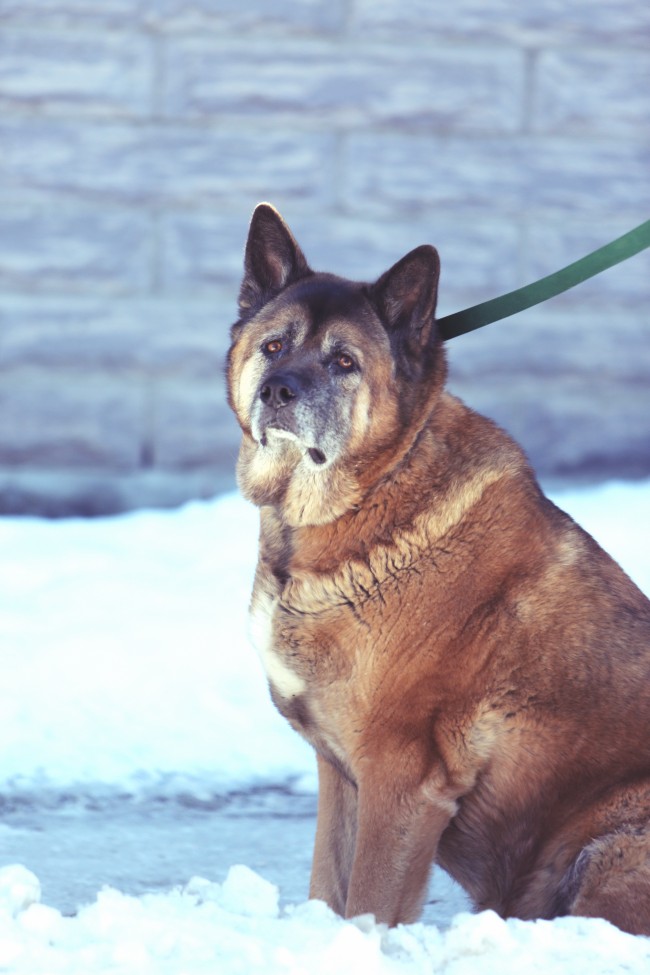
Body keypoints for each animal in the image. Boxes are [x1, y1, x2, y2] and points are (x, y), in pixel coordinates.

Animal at [227, 202, 648, 936]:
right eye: (274, 346)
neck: (370, 493)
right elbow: (329, 889)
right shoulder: (342, 773)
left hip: (611, 843)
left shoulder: (402, 779)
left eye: (344, 361)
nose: (278, 390)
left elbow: (368, 901)